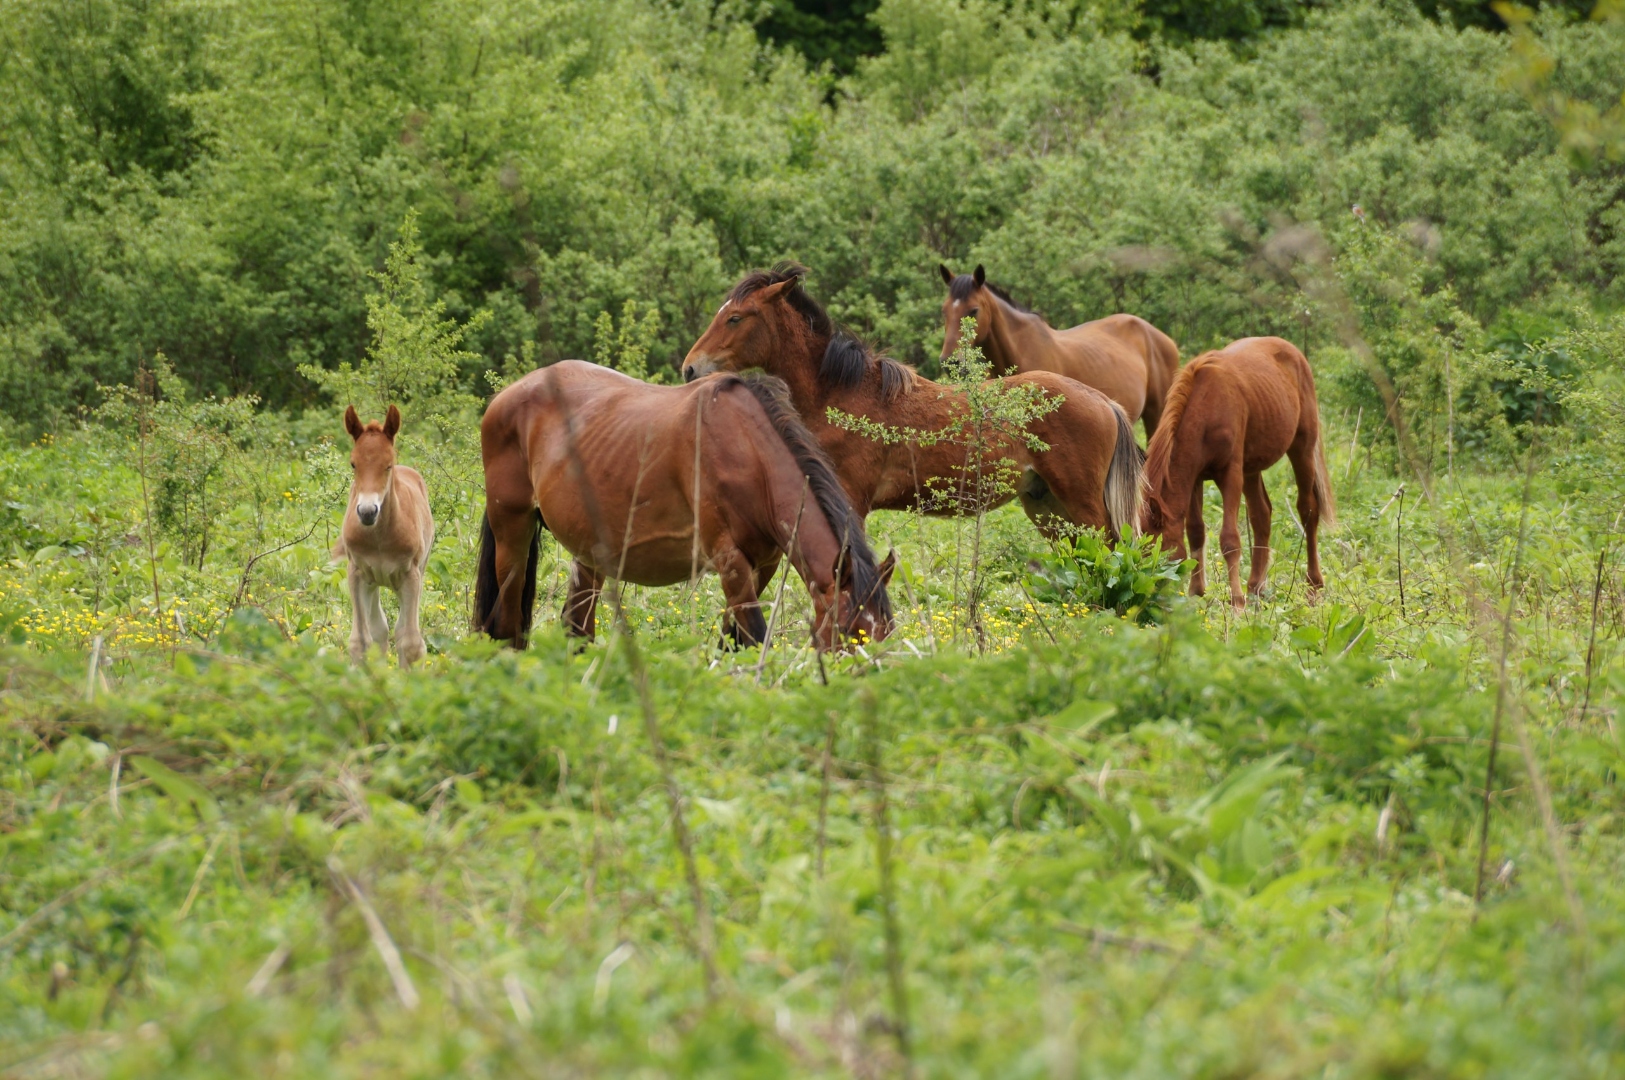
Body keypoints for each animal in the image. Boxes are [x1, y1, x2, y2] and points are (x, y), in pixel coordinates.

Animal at [336, 405, 435, 667]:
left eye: (388, 465)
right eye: (353, 464)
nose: (367, 512)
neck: (379, 537)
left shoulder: (411, 576)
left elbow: (411, 644)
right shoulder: (357, 573)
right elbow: (360, 642)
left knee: (400, 630)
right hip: (373, 582)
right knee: (379, 629)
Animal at [474, 361, 895, 651]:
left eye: (886, 632)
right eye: (849, 632)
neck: (749, 453)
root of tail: (505, 397)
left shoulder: (762, 565)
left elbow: (732, 643)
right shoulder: (730, 561)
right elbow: (754, 638)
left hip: (588, 553)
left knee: (576, 627)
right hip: (512, 537)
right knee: (507, 627)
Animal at [681, 263, 1143, 541]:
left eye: (735, 317)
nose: (689, 368)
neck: (841, 391)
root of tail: (1103, 402)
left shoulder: (852, 502)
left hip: (1083, 508)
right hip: (1048, 508)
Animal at [938, 264, 1181, 438]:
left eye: (973, 310)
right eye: (944, 310)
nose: (950, 362)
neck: (1021, 352)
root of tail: (1163, 339)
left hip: (1156, 414)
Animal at [1137, 337, 1336, 610]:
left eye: (1156, 552)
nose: (1151, 597)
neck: (1206, 409)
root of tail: (1293, 352)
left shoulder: (1230, 476)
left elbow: (1230, 540)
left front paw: (1236, 602)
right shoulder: (1195, 478)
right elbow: (1196, 532)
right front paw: (1197, 592)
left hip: (1302, 449)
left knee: (1308, 510)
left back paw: (1313, 586)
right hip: (1252, 467)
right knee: (1261, 514)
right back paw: (1255, 588)